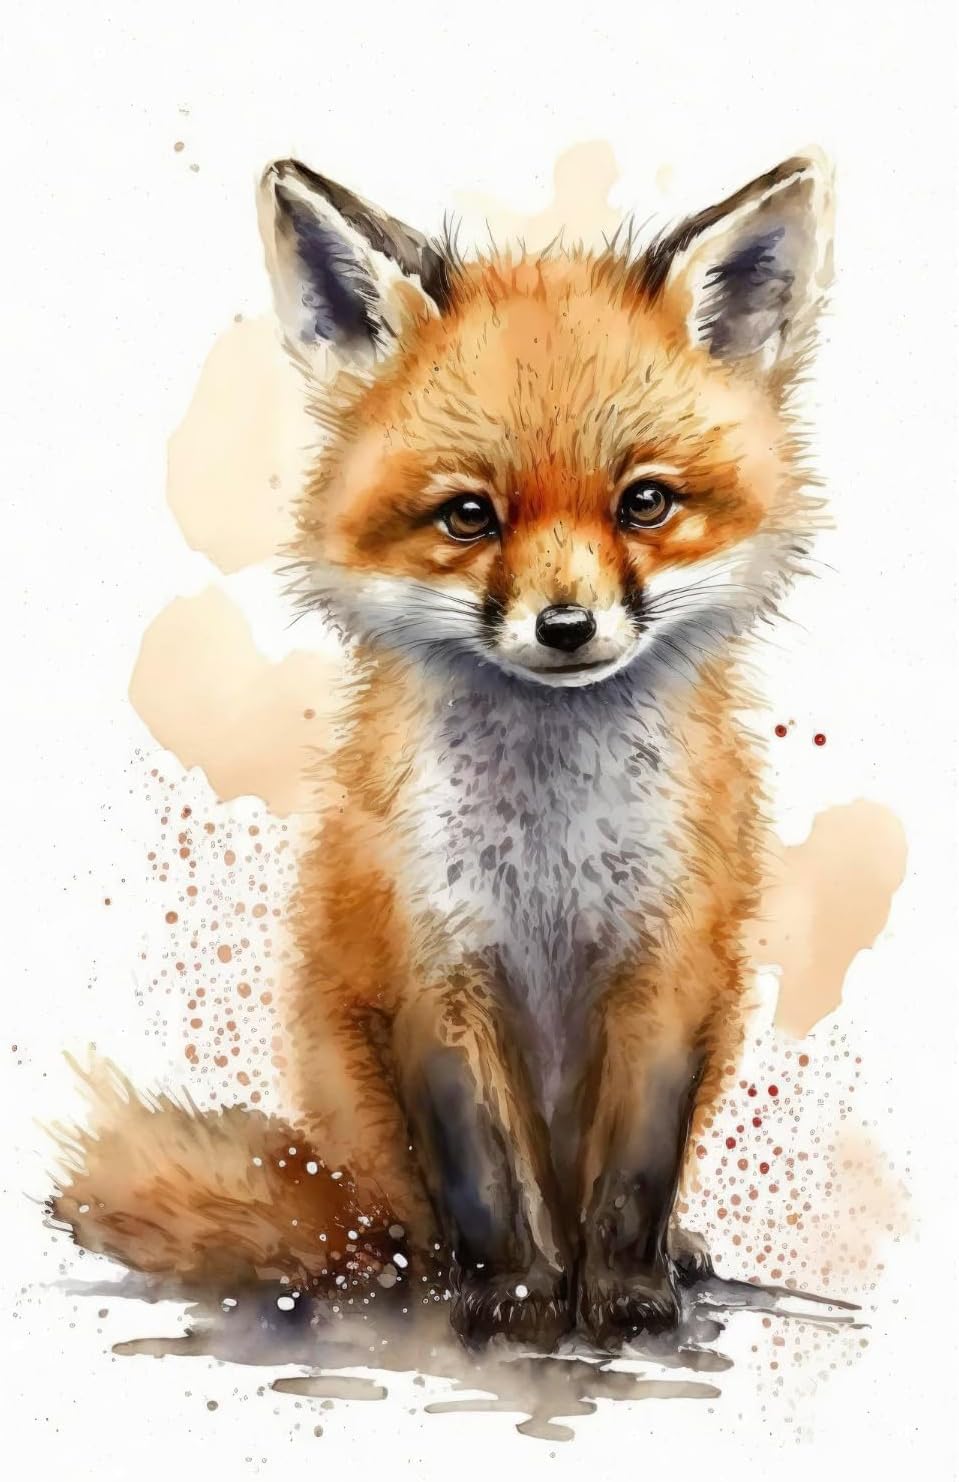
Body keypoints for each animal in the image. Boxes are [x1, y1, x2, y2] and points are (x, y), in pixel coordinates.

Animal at [52, 152, 833, 1349]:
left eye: (645, 503)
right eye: (469, 516)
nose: (566, 628)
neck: (552, 851)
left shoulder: (667, 969)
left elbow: (632, 1178)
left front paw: (622, 1295)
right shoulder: (435, 967)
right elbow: (487, 1180)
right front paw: (516, 1299)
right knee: (397, 1228)